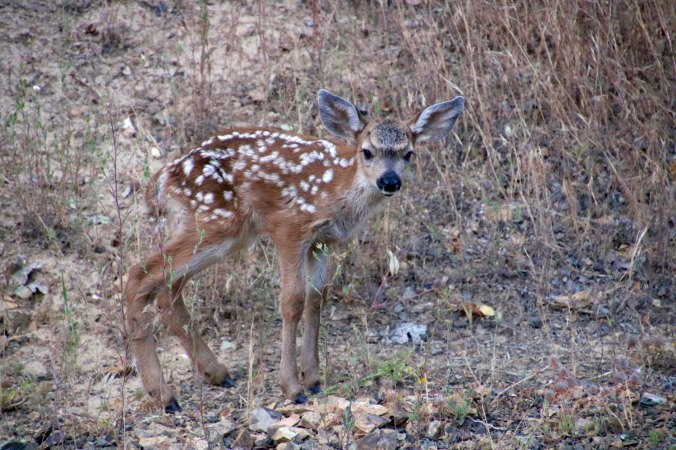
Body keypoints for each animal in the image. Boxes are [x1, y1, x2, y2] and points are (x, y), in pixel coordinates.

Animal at [124, 89, 464, 413]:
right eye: (367, 152)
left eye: (408, 154)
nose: (390, 181)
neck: (337, 190)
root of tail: (162, 178)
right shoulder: (289, 228)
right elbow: (292, 300)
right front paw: (291, 387)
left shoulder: (321, 241)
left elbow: (317, 297)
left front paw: (312, 378)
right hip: (213, 222)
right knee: (140, 276)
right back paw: (163, 395)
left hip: (216, 232)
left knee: (168, 288)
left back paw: (216, 373)